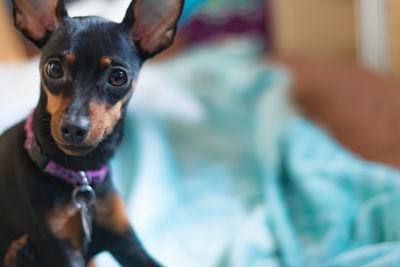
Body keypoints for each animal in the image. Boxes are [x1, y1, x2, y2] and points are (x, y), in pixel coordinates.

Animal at [0, 0, 184, 266]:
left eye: (118, 76)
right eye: (54, 68)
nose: (74, 128)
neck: (81, 174)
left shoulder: (126, 242)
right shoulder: (61, 250)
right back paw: (18, 255)